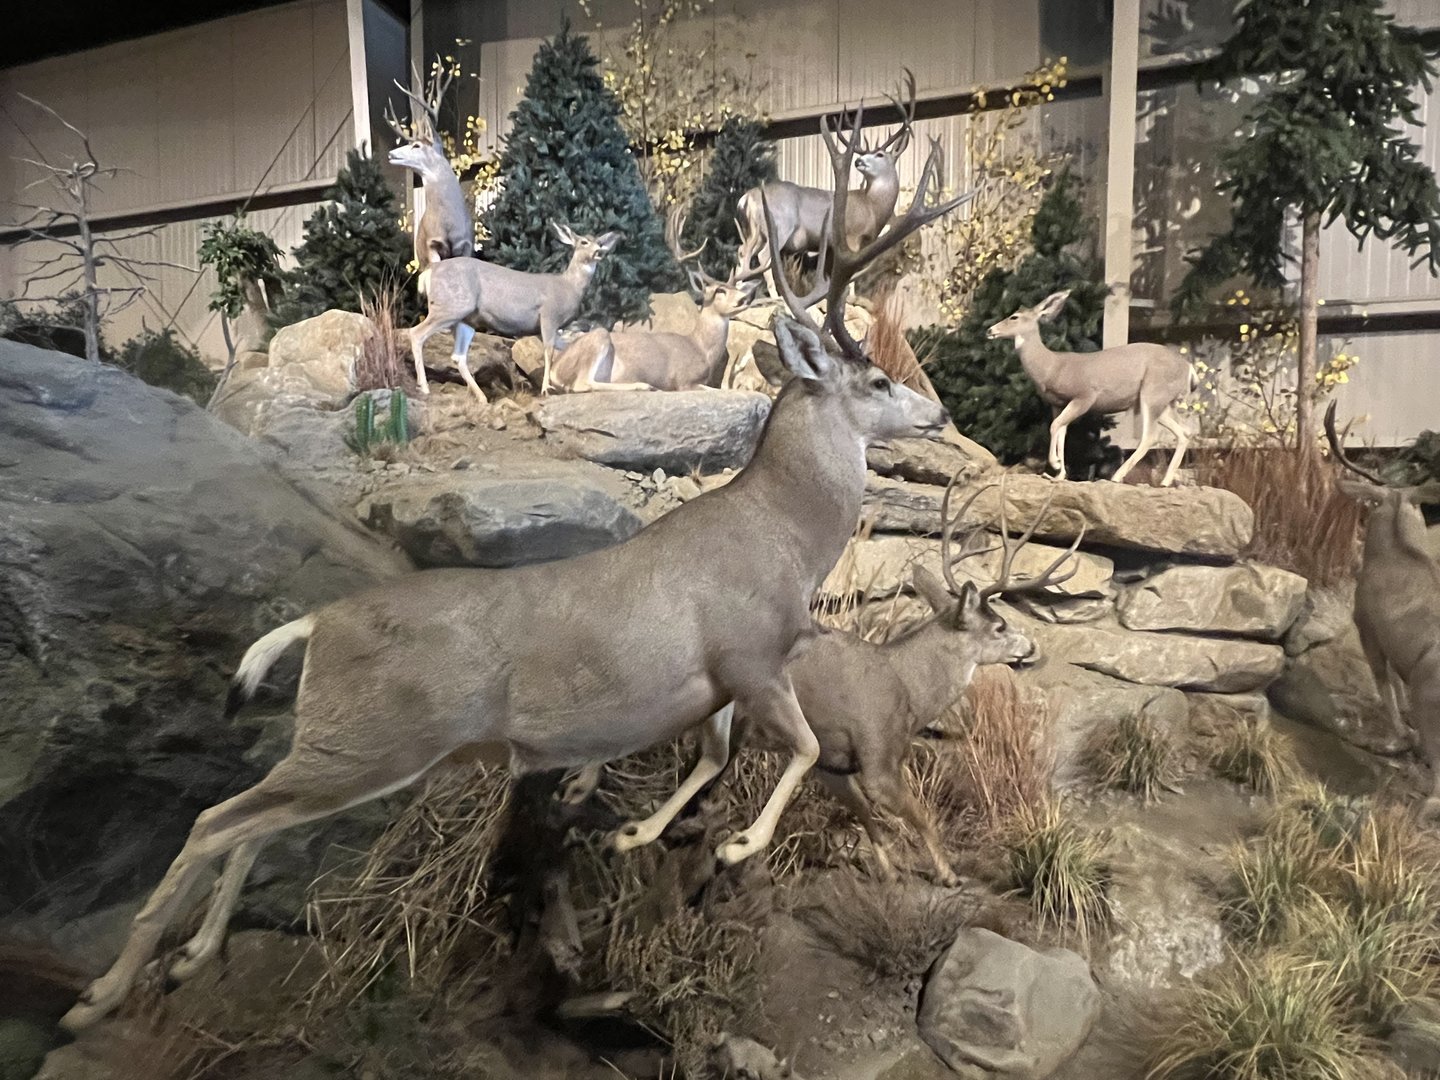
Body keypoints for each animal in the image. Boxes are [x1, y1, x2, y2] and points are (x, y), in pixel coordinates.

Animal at [406, 222, 620, 404]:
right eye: (584, 242)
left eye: (600, 242)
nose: (599, 251)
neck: (568, 287)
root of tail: (429, 272)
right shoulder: (549, 315)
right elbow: (549, 351)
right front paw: (546, 389)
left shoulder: (543, 327)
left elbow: (563, 346)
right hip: (450, 306)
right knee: (416, 333)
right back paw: (424, 387)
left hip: (465, 320)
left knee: (458, 356)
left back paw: (482, 397)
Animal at [548, 208, 766, 392]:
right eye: (720, 290)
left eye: (736, 289)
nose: (745, 298)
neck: (701, 349)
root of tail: (555, 370)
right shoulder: (684, 380)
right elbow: (717, 390)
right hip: (598, 338)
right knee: (581, 384)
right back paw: (642, 385)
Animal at [736, 70, 917, 298]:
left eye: (879, 154)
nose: (858, 161)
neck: (871, 206)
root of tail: (746, 198)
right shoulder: (851, 236)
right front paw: (852, 297)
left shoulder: (833, 247)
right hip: (778, 226)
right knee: (763, 257)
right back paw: (775, 294)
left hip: (752, 231)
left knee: (743, 251)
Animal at [987, 290, 1194, 486]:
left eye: (1014, 316)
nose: (989, 330)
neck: (1052, 366)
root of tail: (1188, 368)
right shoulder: (1057, 403)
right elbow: (1061, 431)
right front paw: (1060, 474)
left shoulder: (1085, 395)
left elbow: (1055, 426)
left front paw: (1055, 464)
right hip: (1165, 402)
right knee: (1184, 432)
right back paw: (1165, 481)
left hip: (1153, 392)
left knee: (1151, 436)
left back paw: (1117, 476)